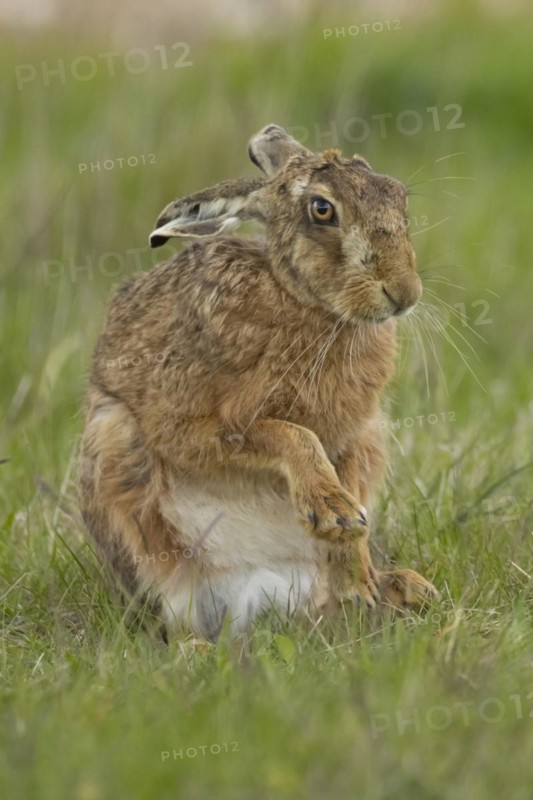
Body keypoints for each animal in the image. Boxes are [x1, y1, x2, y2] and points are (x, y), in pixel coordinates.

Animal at [79, 123, 438, 640]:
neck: (303, 301)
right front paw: (333, 510)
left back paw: (390, 590)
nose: (404, 293)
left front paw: (351, 551)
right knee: (172, 612)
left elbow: (345, 479)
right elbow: (290, 434)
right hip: (117, 459)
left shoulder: (359, 434)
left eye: (397, 195)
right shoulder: (195, 427)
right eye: (322, 209)